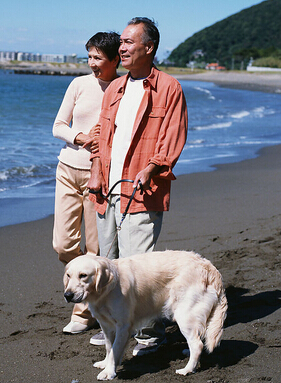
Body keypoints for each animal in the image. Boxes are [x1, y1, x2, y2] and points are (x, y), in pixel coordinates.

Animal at [63, 252, 225, 380]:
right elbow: (109, 348)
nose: (67, 295)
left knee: (197, 344)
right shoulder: (106, 325)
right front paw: (105, 364)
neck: (105, 291)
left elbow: (115, 349)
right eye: (68, 276)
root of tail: (209, 267)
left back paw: (187, 369)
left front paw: (108, 372)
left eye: (83, 276)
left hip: (184, 315)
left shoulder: (123, 326)